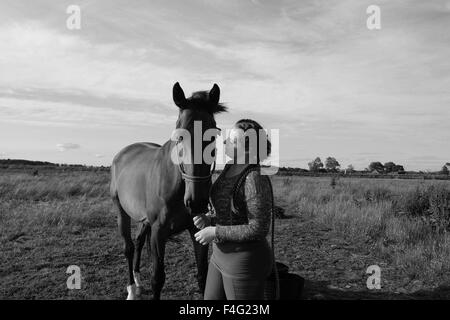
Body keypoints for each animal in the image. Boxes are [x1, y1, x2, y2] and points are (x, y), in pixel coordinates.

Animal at [110, 83, 227, 300]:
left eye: (213, 135)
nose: (196, 201)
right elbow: (157, 278)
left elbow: (202, 276)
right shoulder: (158, 233)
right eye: (180, 136)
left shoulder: (196, 229)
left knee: (138, 242)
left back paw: (138, 281)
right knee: (128, 248)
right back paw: (131, 289)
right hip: (122, 212)